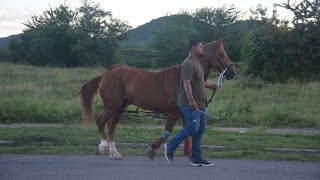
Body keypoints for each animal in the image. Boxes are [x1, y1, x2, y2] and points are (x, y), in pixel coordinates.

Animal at [79, 39, 236, 159]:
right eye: (221, 54)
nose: (232, 72)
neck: (183, 78)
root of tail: (108, 72)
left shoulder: (186, 114)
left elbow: (187, 132)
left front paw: (187, 152)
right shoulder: (172, 113)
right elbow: (167, 133)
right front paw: (154, 149)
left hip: (119, 109)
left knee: (111, 127)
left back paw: (114, 152)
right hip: (112, 108)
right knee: (101, 122)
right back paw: (103, 145)